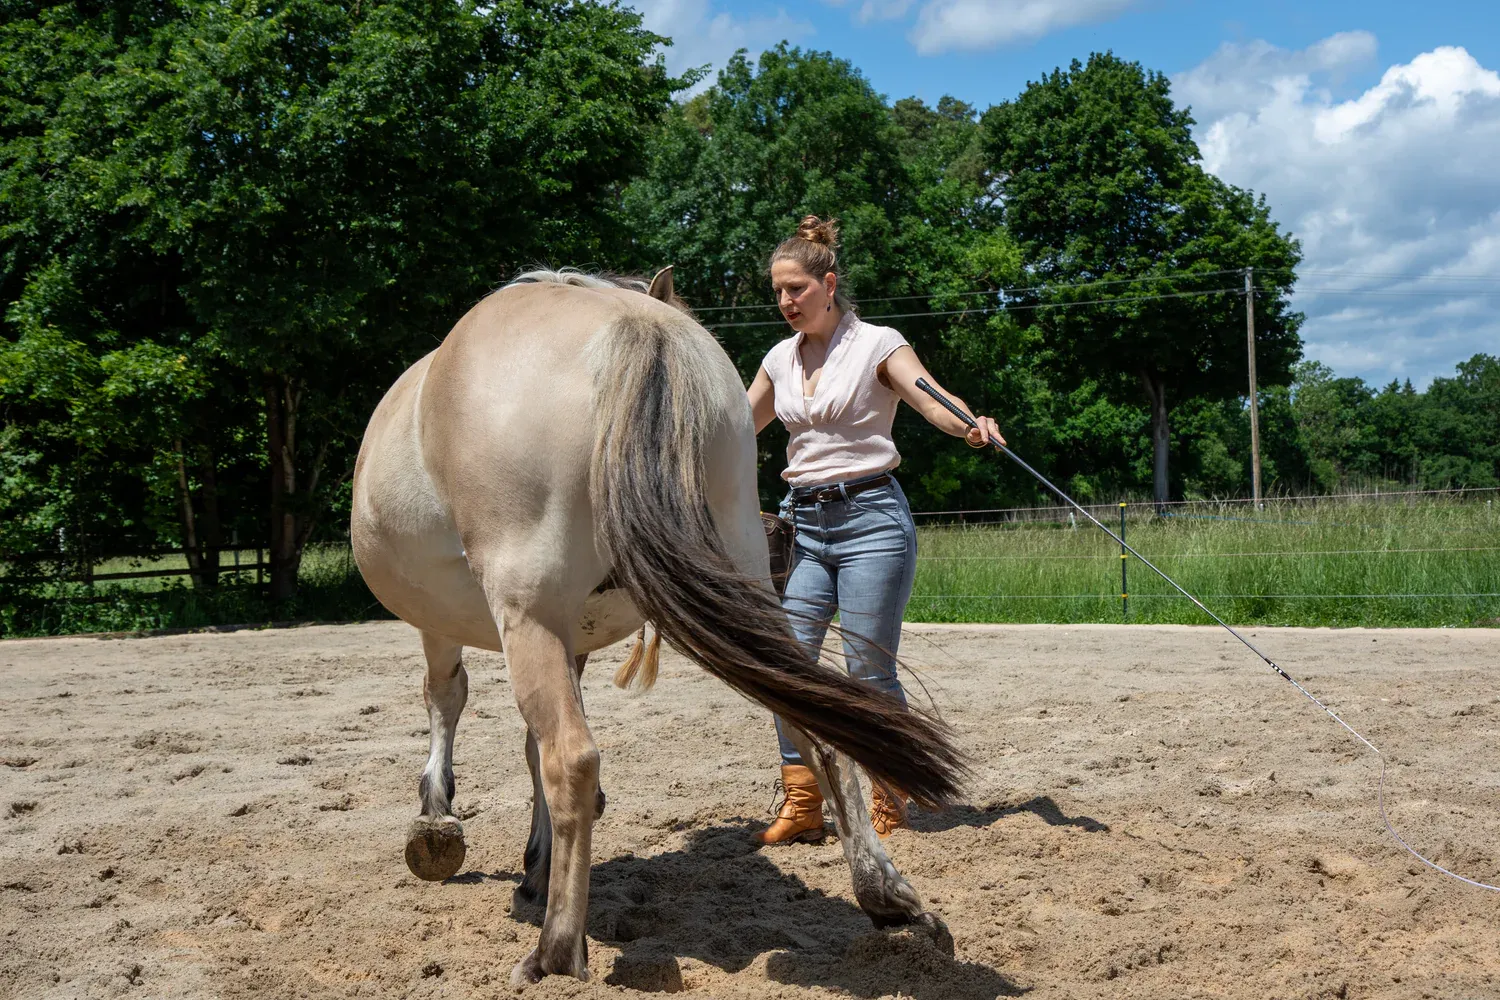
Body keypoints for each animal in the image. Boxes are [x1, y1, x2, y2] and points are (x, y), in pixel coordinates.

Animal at [350, 267, 965, 985]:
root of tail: (636, 327)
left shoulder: (454, 622)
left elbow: (451, 701)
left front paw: (437, 824)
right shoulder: (570, 637)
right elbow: (527, 743)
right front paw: (534, 861)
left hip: (526, 613)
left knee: (572, 757)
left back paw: (556, 951)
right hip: (751, 590)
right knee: (825, 733)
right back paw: (890, 900)